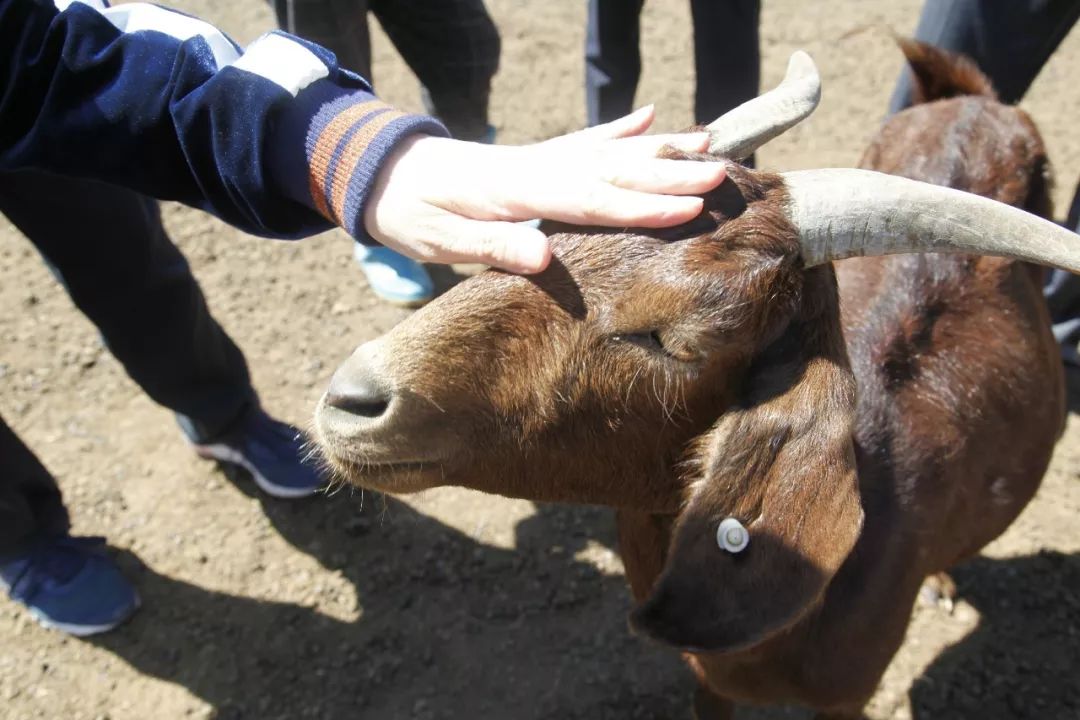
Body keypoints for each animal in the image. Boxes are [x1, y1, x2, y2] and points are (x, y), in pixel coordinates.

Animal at [315, 42, 1075, 716]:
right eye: (541, 230)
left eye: (679, 342)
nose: (353, 400)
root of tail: (969, 98)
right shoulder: (705, 680)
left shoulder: (847, 698)